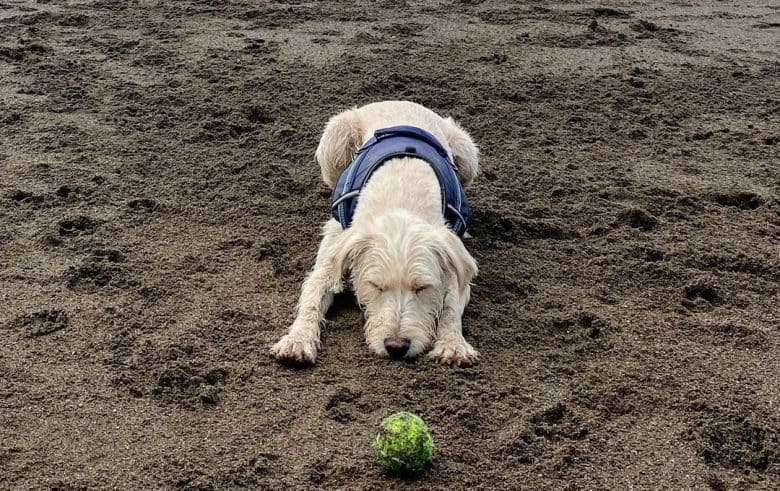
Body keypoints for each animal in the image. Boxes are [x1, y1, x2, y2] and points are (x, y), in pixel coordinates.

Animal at [272, 102, 482, 368]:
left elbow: (451, 304)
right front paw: (297, 340)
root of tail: (400, 101)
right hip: (337, 136)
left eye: (422, 287)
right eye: (376, 286)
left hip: (467, 154)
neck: (401, 192)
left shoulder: (453, 263)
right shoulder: (335, 245)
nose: (396, 347)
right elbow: (315, 291)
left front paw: (453, 344)